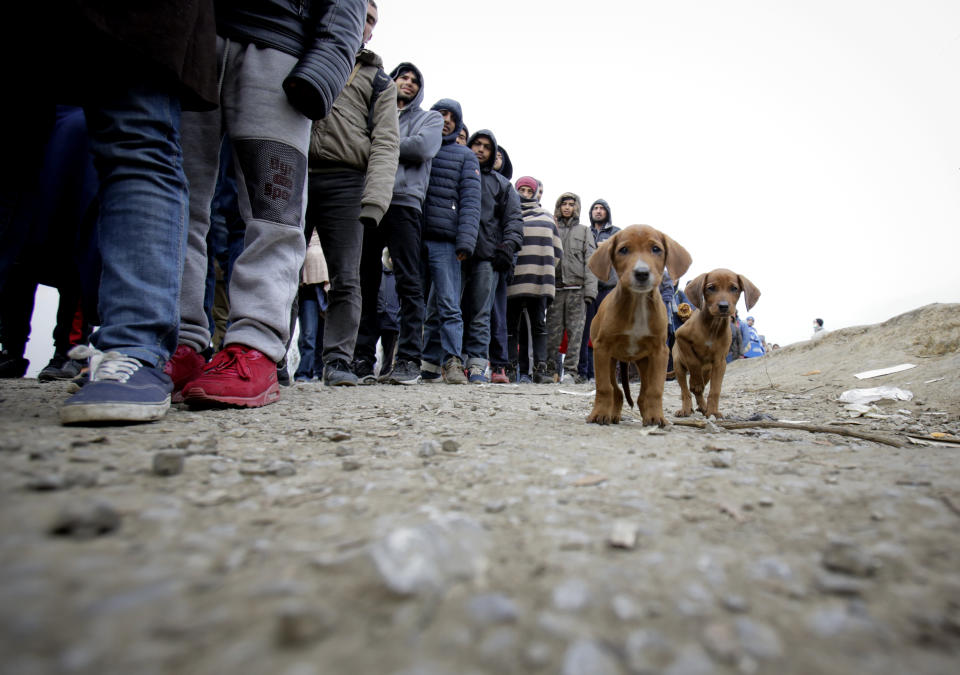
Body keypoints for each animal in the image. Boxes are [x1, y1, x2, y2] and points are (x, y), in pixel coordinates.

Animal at [584, 227, 688, 428]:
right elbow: (603, 387)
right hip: (611, 360)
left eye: (656, 249)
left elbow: (655, 390)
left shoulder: (660, 352)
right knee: (616, 391)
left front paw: (656, 416)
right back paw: (612, 415)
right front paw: (598, 414)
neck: (638, 302)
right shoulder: (601, 348)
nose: (641, 273)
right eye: (623, 250)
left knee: (642, 394)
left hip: (644, 361)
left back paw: (648, 416)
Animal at [672, 268, 760, 418]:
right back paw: (686, 408)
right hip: (678, 366)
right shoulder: (680, 336)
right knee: (686, 391)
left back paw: (703, 406)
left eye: (734, 288)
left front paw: (712, 411)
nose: (723, 306)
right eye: (711, 288)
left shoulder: (720, 362)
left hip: (708, 371)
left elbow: (715, 390)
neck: (713, 325)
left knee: (699, 392)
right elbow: (693, 361)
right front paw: (696, 382)